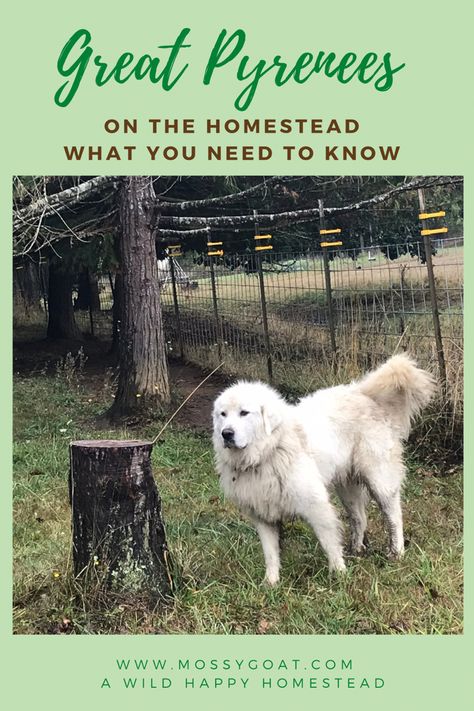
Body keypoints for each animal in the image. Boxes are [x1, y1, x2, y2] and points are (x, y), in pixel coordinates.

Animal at [213, 354, 436, 584]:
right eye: (223, 414)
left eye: (244, 413)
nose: (226, 434)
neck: (269, 451)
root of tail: (364, 394)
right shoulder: (264, 516)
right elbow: (271, 554)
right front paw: (271, 583)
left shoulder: (315, 505)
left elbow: (328, 542)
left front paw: (339, 574)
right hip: (347, 488)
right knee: (359, 518)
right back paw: (356, 550)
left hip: (379, 481)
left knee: (393, 516)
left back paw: (396, 552)